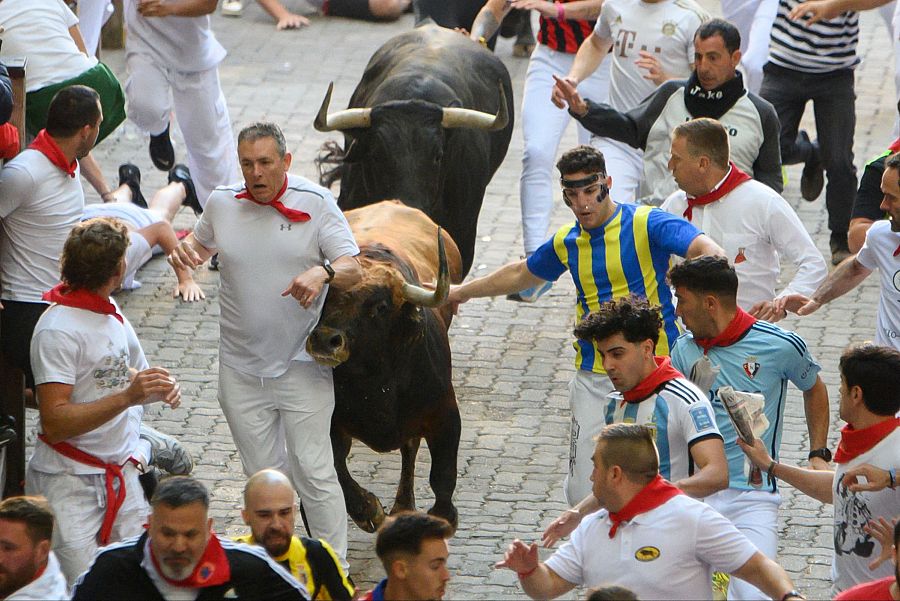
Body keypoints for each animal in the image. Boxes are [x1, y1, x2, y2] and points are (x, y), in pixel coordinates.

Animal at [308, 202, 464, 528]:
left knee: (410, 449)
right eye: (325, 297)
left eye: (380, 307)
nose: (325, 340)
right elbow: (337, 471)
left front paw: (442, 517)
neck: (375, 379)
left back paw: (404, 504)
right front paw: (368, 509)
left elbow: (443, 474)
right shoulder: (330, 424)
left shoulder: (444, 413)